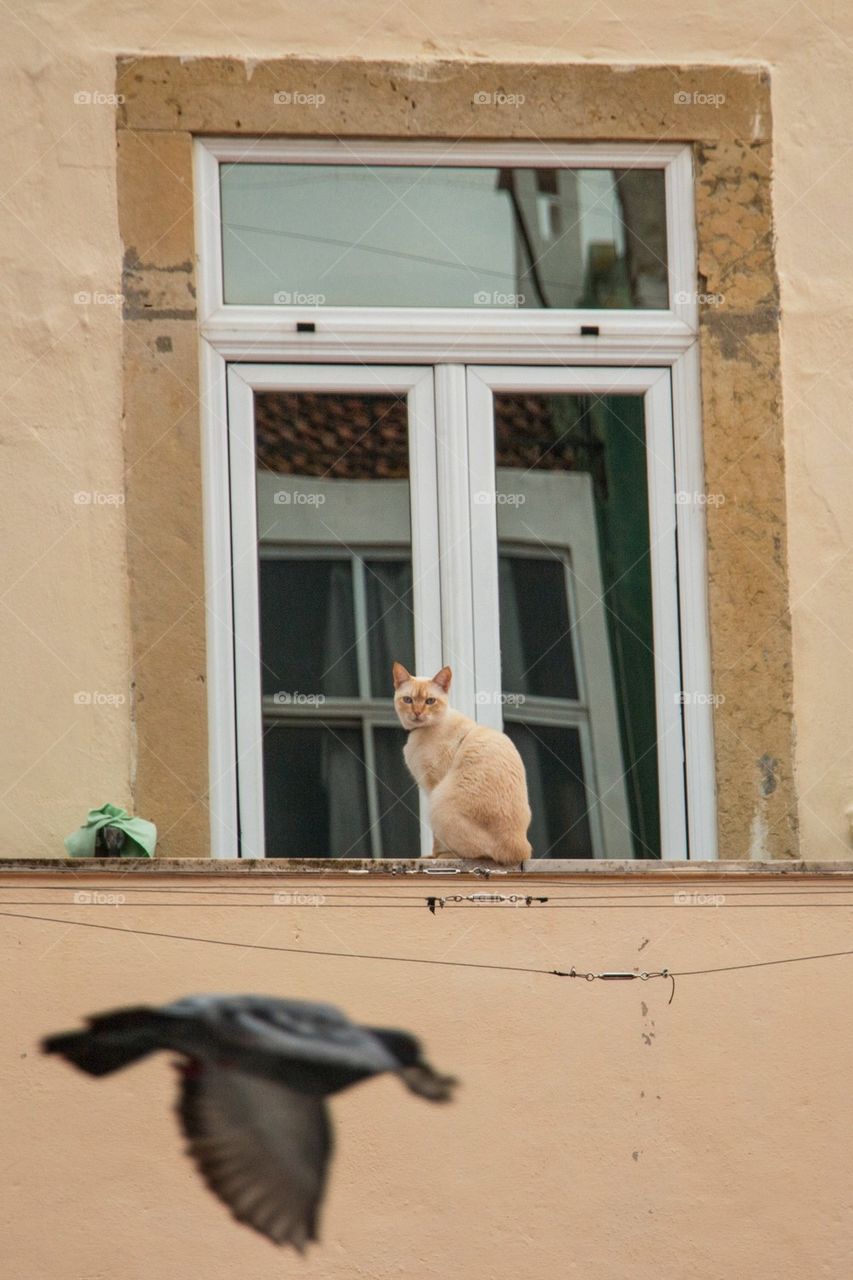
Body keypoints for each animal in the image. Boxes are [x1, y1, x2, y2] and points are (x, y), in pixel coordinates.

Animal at [391, 665, 532, 865]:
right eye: (408, 700)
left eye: (430, 701)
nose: (417, 713)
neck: (420, 732)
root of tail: (521, 851)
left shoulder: (433, 785)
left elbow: (436, 838)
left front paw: (434, 856)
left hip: (437, 802)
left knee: (478, 855)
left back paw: (446, 856)